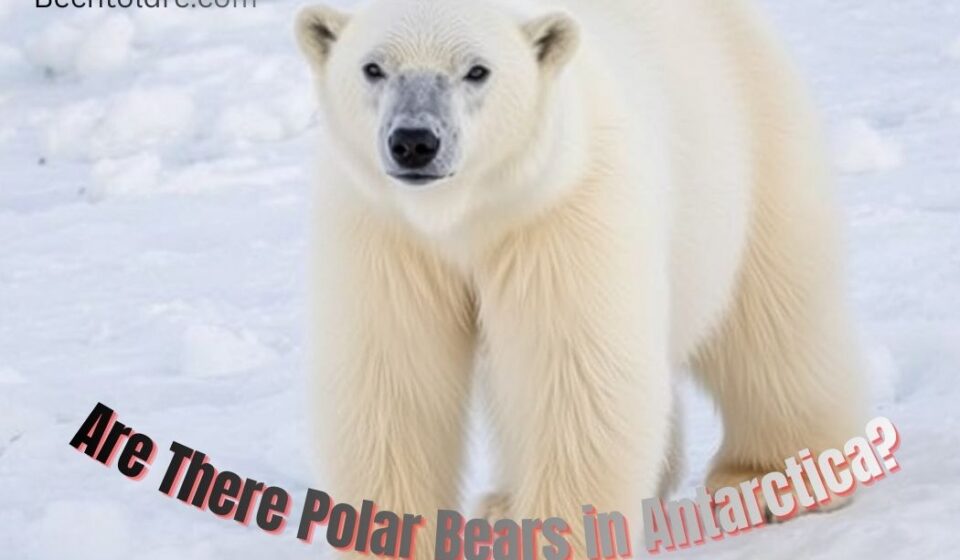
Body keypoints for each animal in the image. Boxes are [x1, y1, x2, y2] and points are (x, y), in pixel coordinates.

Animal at [295, 0, 866, 556]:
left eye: (477, 70)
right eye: (373, 67)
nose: (414, 141)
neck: (466, 216)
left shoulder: (562, 212)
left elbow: (573, 379)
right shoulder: (387, 234)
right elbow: (390, 380)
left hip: (753, 147)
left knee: (772, 318)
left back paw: (777, 477)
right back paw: (505, 505)